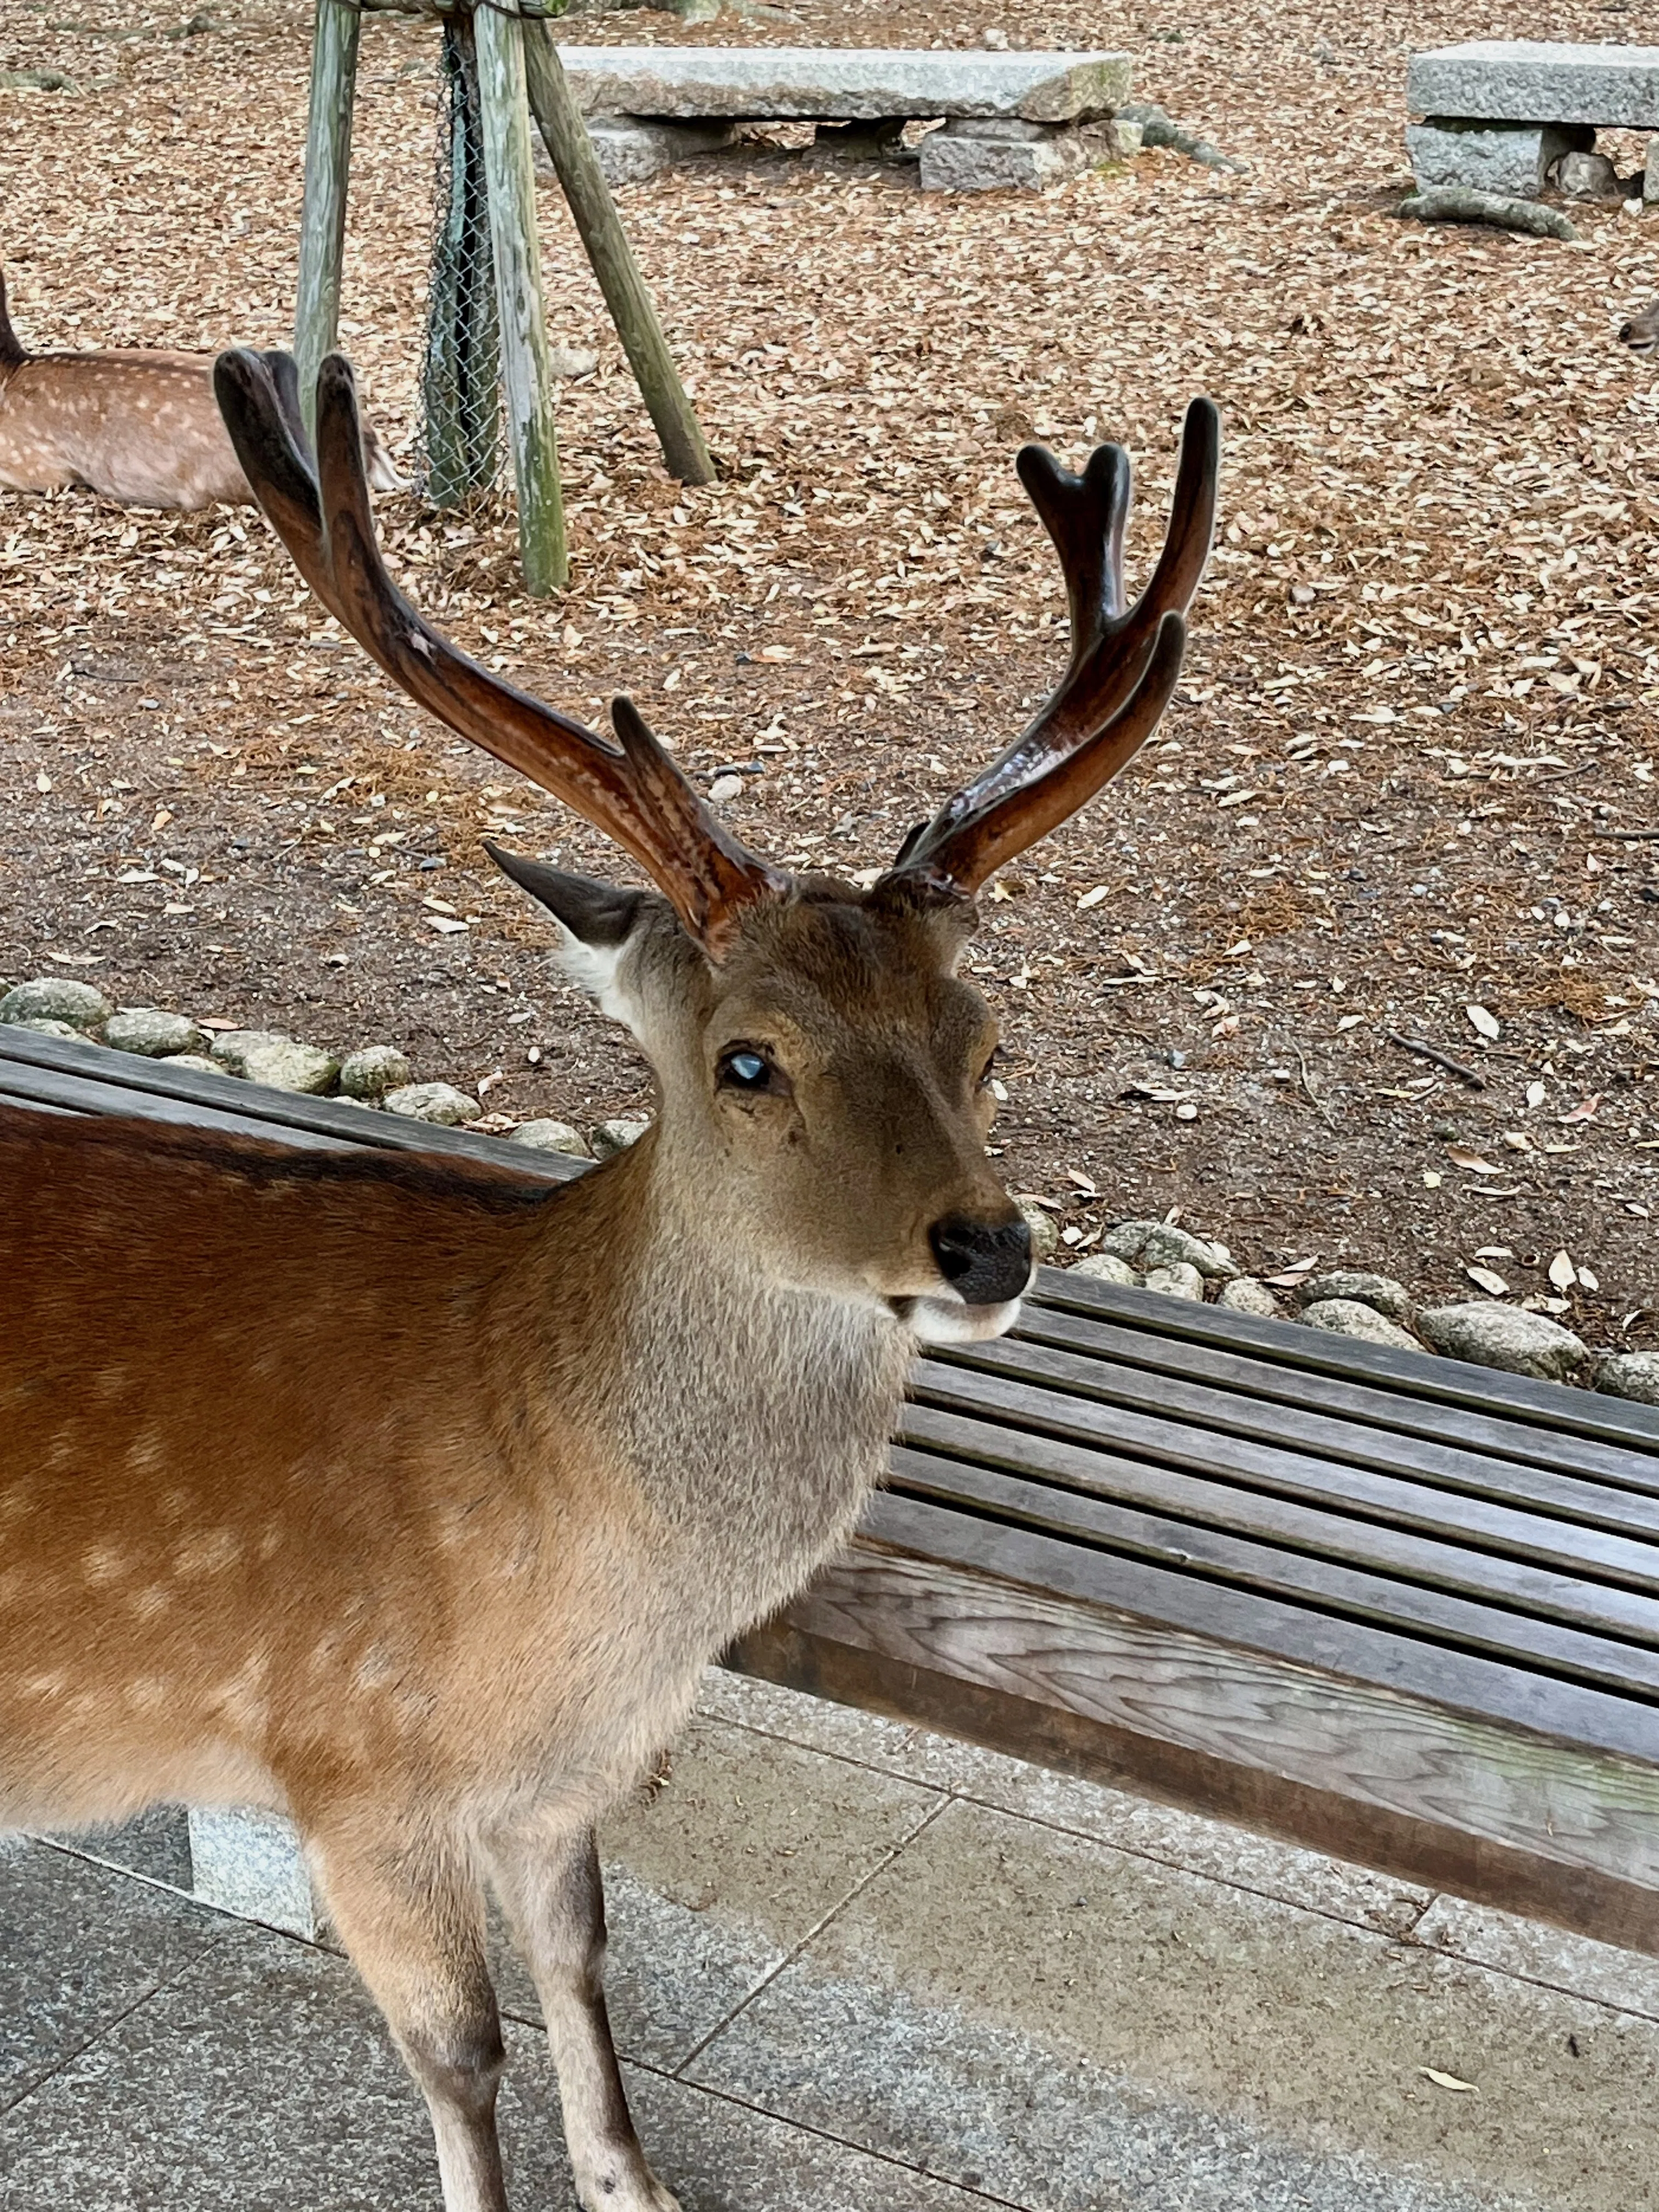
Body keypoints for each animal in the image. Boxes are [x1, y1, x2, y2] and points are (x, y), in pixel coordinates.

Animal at [0, 348, 1218, 2212]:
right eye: (747, 1060)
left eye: (988, 1040)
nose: (989, 1246)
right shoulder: (352, 1762)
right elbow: (462, 2052)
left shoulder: (564, 1781)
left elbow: (584, 1966)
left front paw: (636, 2183)